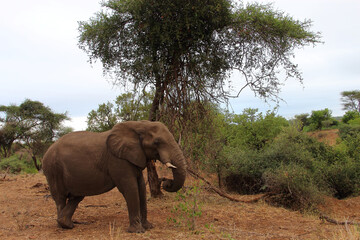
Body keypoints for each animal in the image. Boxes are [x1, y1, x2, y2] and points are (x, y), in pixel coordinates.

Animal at [43, 120, 186, 232]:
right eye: (157, 142)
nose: (166, 182)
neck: (139, 125)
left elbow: (141, 187)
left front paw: (148, 227)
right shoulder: (117, 160)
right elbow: (130, 187)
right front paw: (137, 231)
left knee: (76, 196)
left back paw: (67, 224)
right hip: (53, 169)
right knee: (60, 198)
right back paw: (62, 226)